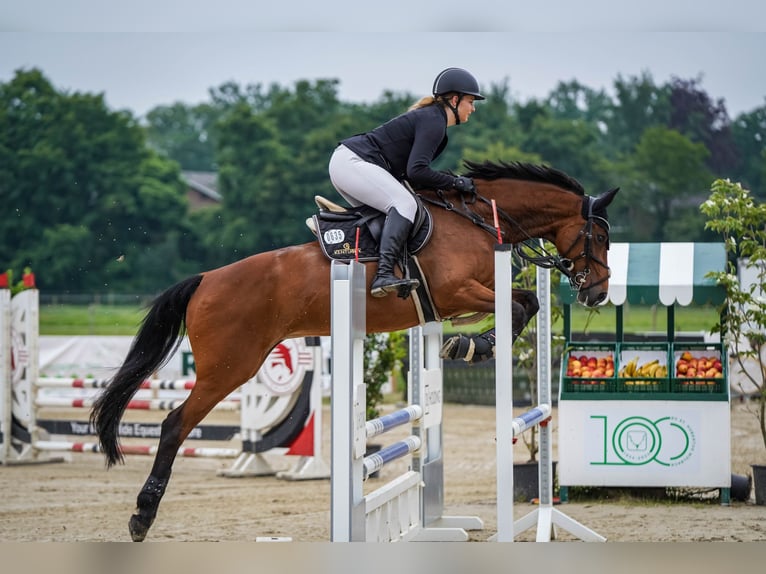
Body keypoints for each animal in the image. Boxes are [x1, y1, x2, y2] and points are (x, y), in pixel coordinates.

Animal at [88, 160, 616, 544]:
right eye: (601, 236)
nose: (597, 295)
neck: (478, 220)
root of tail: (205, 280)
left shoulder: (464, 296)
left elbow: (524, 304)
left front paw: (468, 344)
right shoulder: (458, 291)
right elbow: (519, 305)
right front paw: (473, 345)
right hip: (229, 367)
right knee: (175, 424)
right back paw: (142, 517)